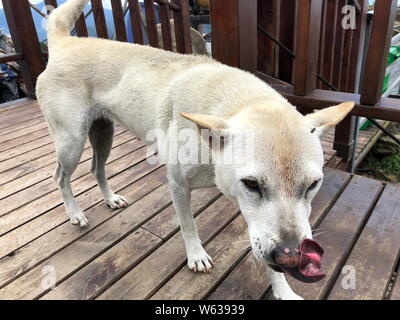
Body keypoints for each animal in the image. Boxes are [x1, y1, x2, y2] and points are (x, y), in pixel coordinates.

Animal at [36, 0, 352, 300]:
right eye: (251, 184)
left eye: (313, 185)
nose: (289, 258)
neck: (238, 102)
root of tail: (64, 41)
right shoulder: (179, 185)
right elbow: (188, 225)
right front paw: (196, 256)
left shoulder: (257, 222)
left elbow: (265, 253)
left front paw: (284, 290)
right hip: (71, 141)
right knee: (60, 177)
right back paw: (75, 213)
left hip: (103, 133)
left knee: (96, 168)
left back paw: (111, 198)